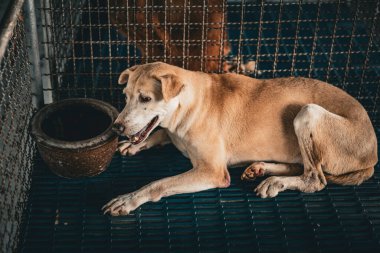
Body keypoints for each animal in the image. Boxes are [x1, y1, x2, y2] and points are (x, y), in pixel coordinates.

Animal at [101, 61, 378, 215]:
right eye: (125, 96)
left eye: (145, 98)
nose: (116, 127)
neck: (190, 104)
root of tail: (372, 154)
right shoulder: (171, 133)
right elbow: (160, 134)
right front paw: (134, 145)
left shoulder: (212, 172)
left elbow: (158, 184)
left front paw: (128, 199)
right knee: (302, 167)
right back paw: (261, 169)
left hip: (308, 112)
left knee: (315, 178)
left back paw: (276, 181)